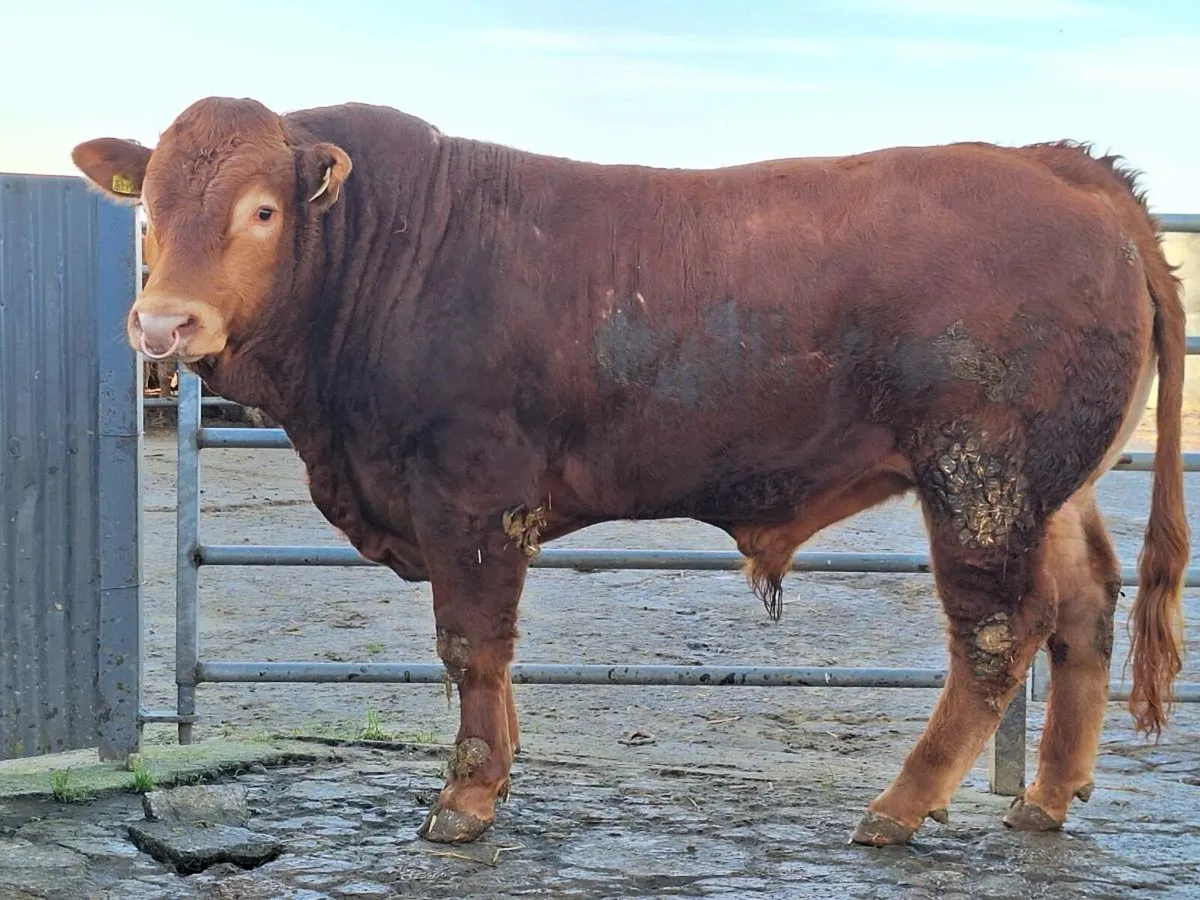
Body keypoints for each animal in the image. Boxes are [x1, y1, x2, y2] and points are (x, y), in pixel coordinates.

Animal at [71, 96, 1188, 848]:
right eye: (150, 205)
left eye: (262, 211)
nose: (164, 323)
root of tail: (1059, 167)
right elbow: (493, 657)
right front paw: (500, 771)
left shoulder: (471, 492)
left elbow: (471, 644)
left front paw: (465, 797)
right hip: (1048, 487)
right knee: (1084, 609)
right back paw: (1045, 797)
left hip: (978, 474)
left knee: (999, 634)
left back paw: (901, 807)